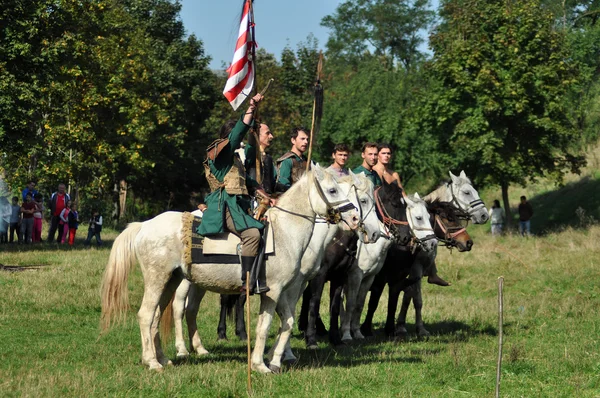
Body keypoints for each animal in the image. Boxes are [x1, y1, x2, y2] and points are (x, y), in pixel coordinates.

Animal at [99, 163, 360, 372]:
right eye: (333, 190)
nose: (356, 219)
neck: (284, 233)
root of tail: (144, 225)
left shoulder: (284, 292)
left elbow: (287, 322)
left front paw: (275, 361)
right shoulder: (273, 291)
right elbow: (264, 327)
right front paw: (260, 365)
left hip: (170, 280)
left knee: (156, 316)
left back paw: (163, 359)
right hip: (158, 279)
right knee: (146, 315)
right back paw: (152, 362)